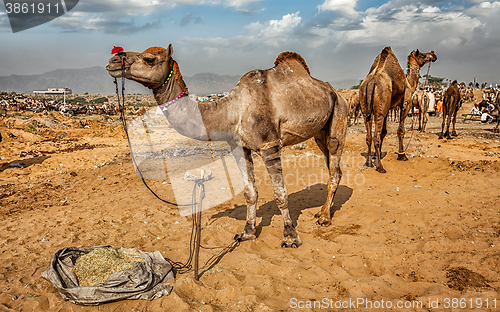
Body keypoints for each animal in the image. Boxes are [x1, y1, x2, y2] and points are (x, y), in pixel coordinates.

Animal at [105, 44, 348, 249]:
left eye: (149, 59)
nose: (113, 60)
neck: (232, 110)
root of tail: (337, 93)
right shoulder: (240, 147)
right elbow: (250, 192)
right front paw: (247, 233)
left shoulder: (269, 145)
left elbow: (280, 193)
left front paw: (290, 237)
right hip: (320, 132)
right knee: (331, 167)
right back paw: (320, 212)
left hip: (339, 114)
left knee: (335, 165)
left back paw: (324, 218)